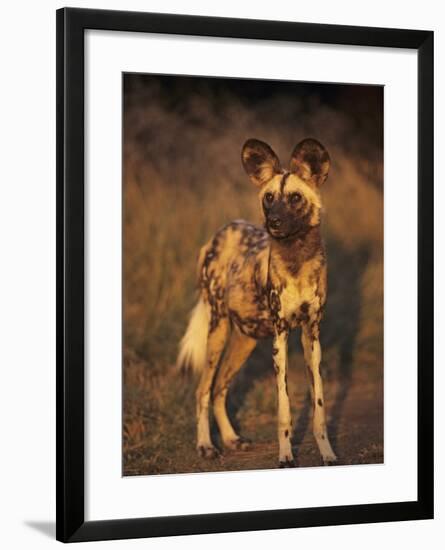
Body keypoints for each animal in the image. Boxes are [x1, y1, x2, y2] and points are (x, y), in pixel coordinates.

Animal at [177, 139, 336, 470]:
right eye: (269, 198)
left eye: (295, 198)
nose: (273, 222)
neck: (296, 260)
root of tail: (218, 235)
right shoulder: (280, 337)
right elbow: (284, 409)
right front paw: (286, 456)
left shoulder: (311, 336)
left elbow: (319, 406)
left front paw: (327, 453)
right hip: (218, 330)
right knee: (203, 390)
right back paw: (206, 446)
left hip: (245, 340)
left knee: (220, 389)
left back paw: (231, 439)